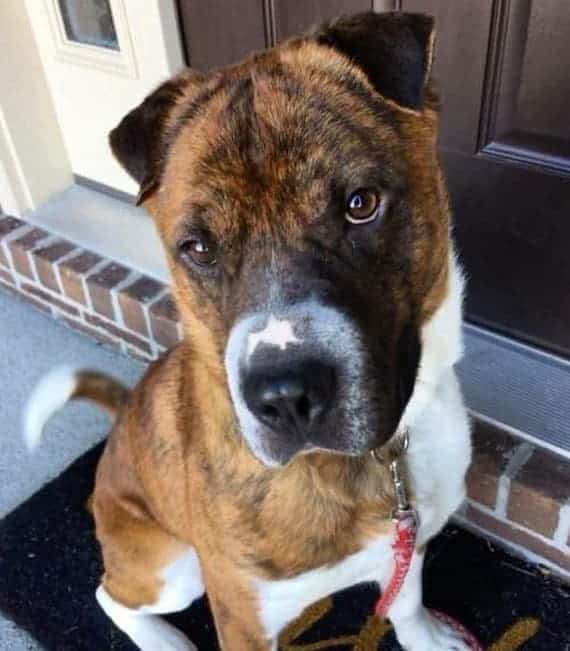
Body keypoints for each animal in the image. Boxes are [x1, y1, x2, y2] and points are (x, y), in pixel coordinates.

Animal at [25, 11, 470, 651]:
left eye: (360, 204)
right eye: (198, 248)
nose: (286, 398)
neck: (376, 462)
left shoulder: (405, 537)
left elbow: (404, 599)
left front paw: (428, 639)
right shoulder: (241, 614)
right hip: (174, 566)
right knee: (109, 593)